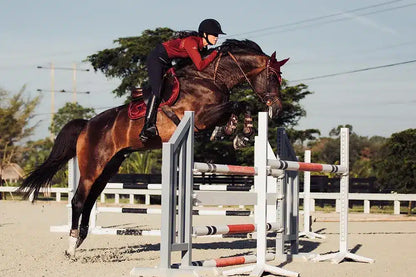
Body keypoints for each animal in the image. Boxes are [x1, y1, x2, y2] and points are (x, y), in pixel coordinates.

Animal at [19, 38, 290, 254]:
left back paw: (81, 238)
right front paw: (238, 131)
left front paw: (235, 132)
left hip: (109, 167)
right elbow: (237, 104)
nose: (277, 110)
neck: (210, 78)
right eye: (273, 77)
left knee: (90, 199)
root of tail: (87, 125)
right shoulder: (200, 117)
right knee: (78, 200)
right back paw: (71, 246)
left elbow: (239, 107)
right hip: (92, 167)